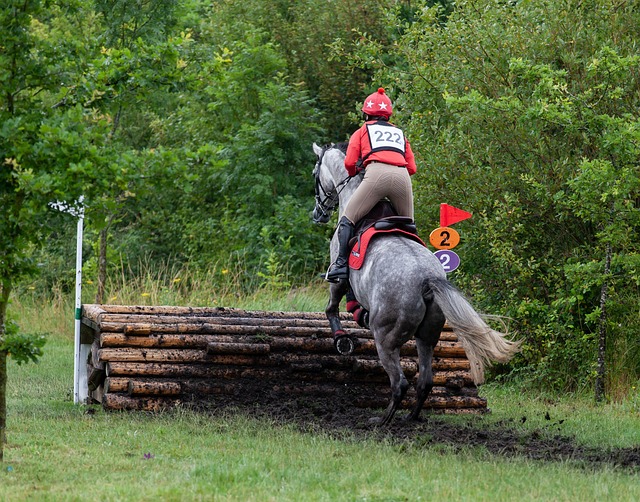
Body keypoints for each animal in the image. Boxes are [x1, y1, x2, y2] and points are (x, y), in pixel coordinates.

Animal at [312, 140, 524, 424]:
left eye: (315, 174)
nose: (318, 214)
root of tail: (426, 279)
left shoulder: (338, 275)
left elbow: (332, 306)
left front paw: (341, 339)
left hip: (386, 338)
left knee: (400, 382)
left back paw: (382, 421)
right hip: (428, 336)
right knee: (425, 381)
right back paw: (410, 417)